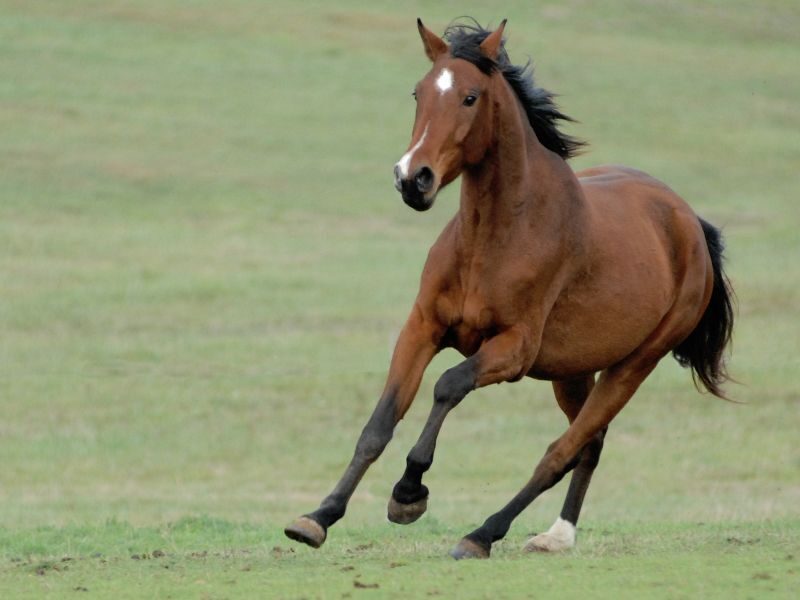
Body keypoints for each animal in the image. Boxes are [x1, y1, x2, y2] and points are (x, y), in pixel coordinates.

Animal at [284, 19, 736, 564]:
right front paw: (318, 517)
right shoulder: (422, 328)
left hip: (634, 365)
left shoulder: (513, 350)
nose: (413, 179)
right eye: (418, 92)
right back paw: (556, 536)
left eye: (470, 97)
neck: (494, 237)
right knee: (590, 444)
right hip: (573, 371)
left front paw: (409, 493)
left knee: (561, 451)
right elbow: (379, 424)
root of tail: (690, 222)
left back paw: (482, 534)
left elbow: (448, 385)